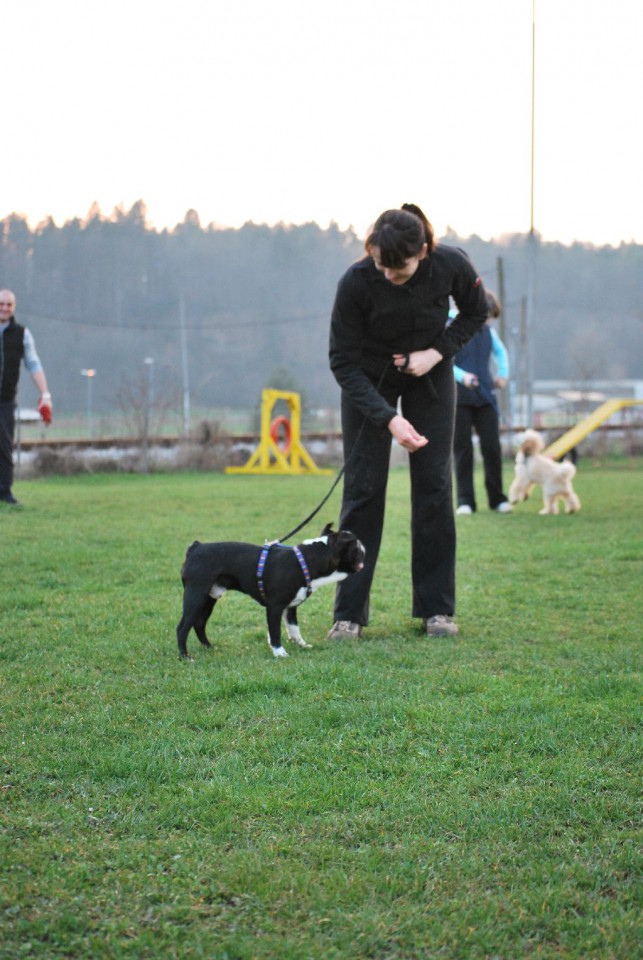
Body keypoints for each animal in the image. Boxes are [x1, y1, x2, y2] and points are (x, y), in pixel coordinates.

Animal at [179, 524, 364, 660]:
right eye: (356, 547)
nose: (364, 547)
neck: (306, 561)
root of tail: (195, 547)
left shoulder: (290, 607)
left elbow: (293, 628)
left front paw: (301, 645)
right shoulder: (274, 606)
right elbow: (276, 630)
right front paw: (279, 652)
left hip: (209, 599)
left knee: (199, 624)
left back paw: (208, 647)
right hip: (196, 596)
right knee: (183, 626)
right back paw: (185, 657)